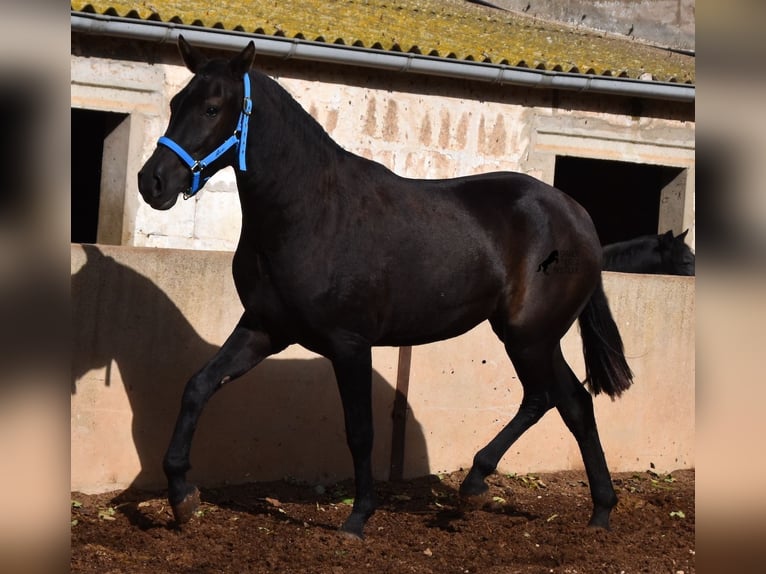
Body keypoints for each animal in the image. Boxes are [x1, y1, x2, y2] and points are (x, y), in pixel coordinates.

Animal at [138, 38, 636, 544]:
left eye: (212, 108)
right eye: (177, 103)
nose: (151, 182)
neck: (309, 212)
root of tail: (579, 218)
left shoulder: (349, 344)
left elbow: (360, 431)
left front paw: (357, 518)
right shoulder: (264, 330)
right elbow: (198, 386)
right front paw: (182, 497)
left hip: (526, 336)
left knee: (541, 399)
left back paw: (475, 484)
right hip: (539, 337)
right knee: (575, 403)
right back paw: (600, 511)